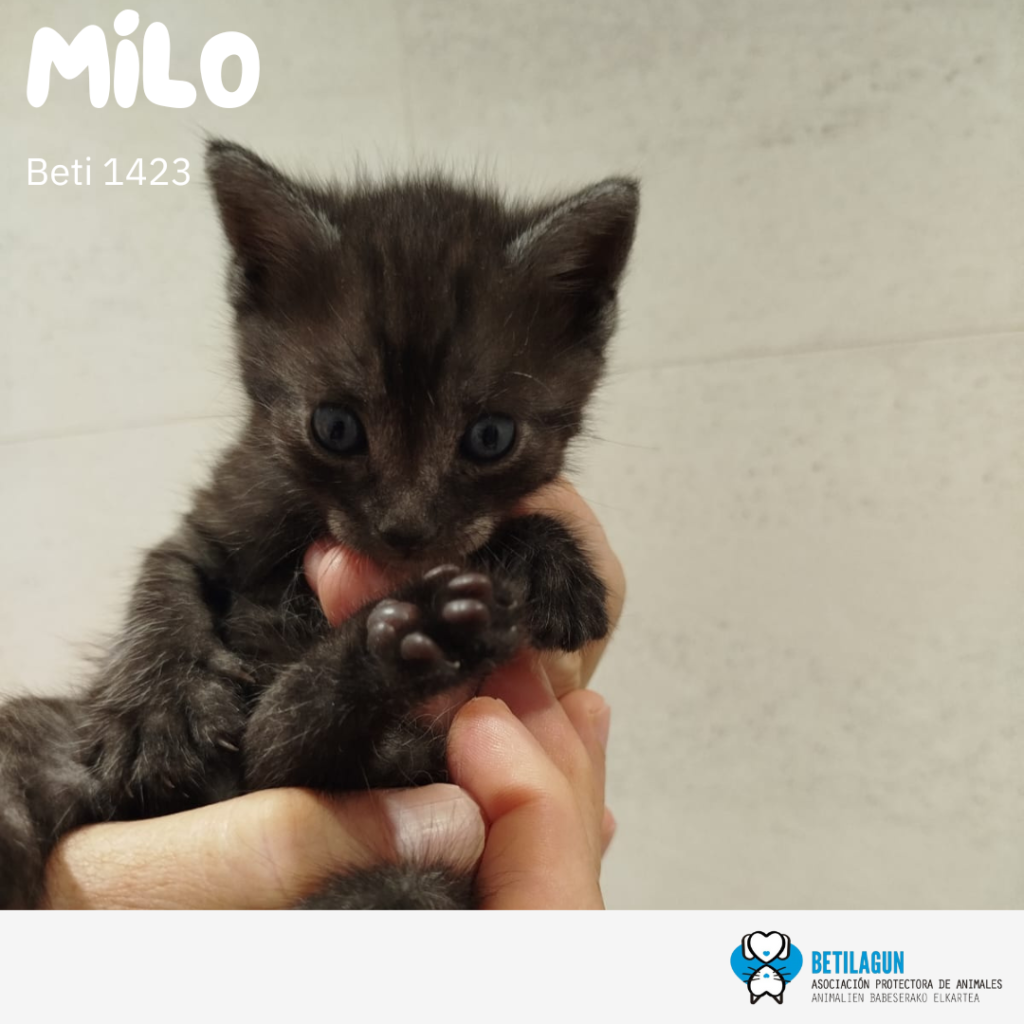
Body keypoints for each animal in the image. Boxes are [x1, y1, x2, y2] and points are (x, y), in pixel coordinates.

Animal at [0, 139, 639, 909]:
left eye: (491, 437)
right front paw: (159, 709)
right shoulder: (222, 506)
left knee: (286, 742)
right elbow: (164, 575)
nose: (404, 529)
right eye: (335, 427)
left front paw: (551, 560)